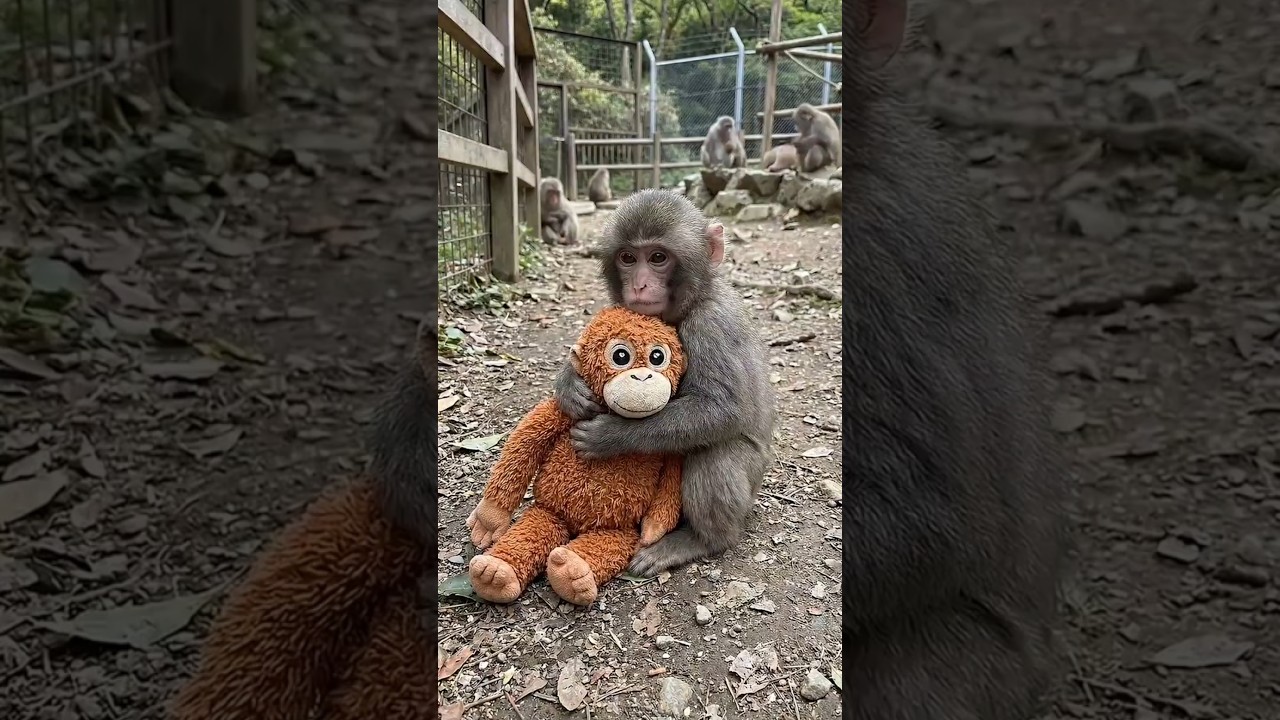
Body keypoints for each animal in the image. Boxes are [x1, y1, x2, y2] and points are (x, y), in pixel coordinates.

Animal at [551, 189, 776, 577]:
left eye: (658, 258)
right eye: (628, 258)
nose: (639, 284)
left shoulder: (711, 324)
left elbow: (723, 411)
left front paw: (611, 435)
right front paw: (569, 384)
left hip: (749, 486)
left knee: (714, 452)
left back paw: (702, 541)